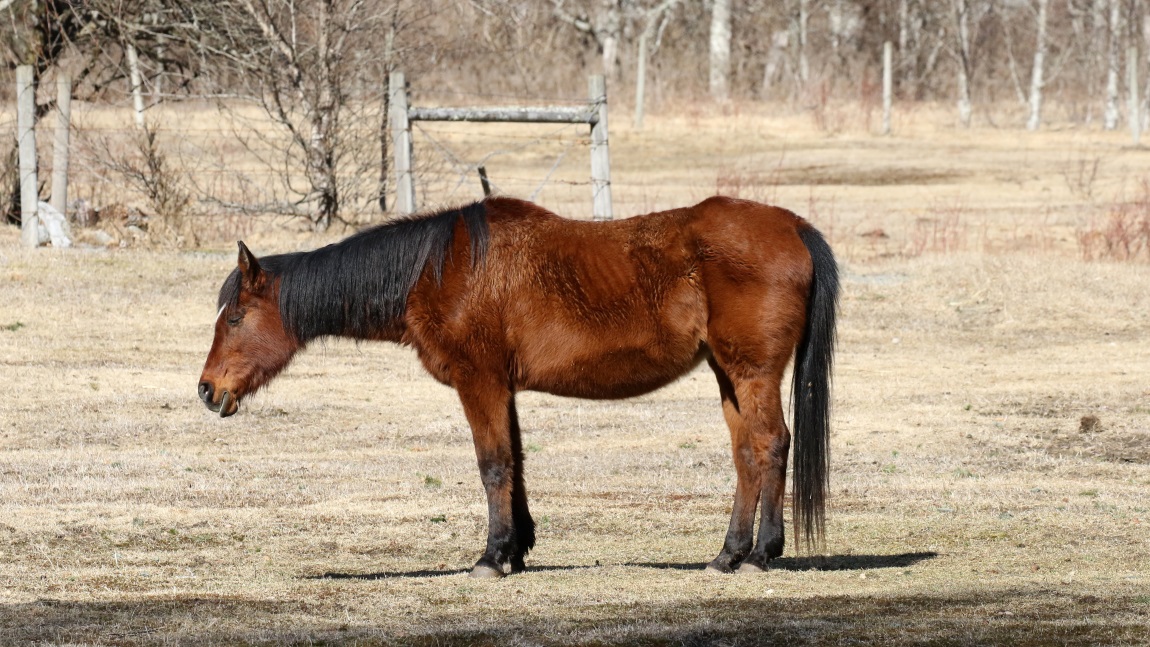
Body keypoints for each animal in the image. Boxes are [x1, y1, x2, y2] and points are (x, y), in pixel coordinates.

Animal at [198, 196, 838, 578]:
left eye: (236, 318)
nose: (206, 389)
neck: (441, 269)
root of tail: (793, 224)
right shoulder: (502, 388)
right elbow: (517, 464)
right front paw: (518, 550)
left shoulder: (478, 382)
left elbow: (494, 465)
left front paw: (491, 557)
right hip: (728, 374)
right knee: (746, 455)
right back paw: (728, 554)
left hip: (751, 373)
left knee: (770, 445)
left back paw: (761, 555)